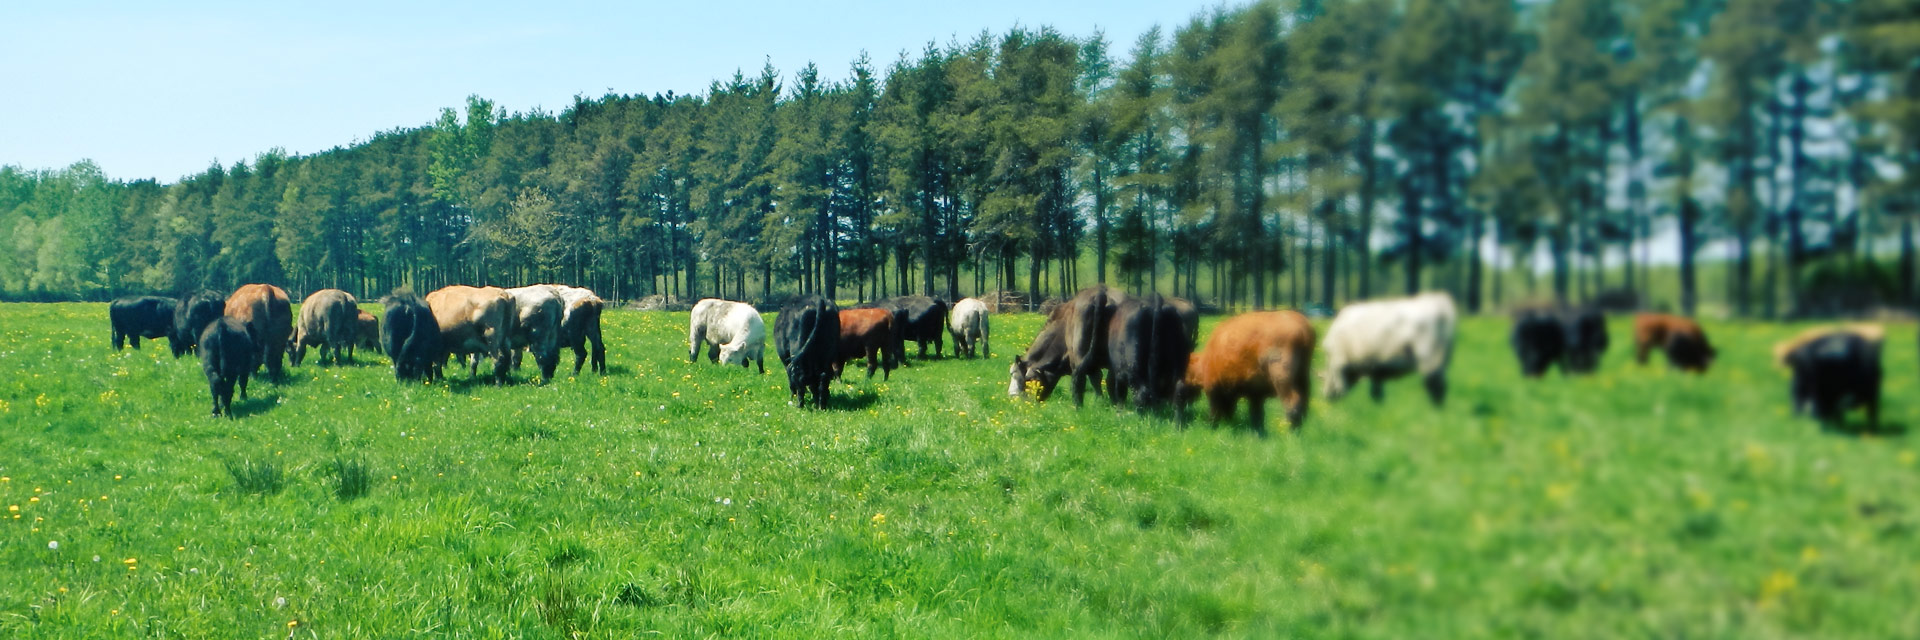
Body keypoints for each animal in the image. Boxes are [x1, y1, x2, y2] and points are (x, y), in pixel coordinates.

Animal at [1167, 309, 1320, 434]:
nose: (1175, 403)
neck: (1206, 359)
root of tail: (1303, 329)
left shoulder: (1213, 388)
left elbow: (1215, 411)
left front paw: (1212, 427)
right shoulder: (1255, 394)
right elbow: (1255, 414)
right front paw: (1257, 433)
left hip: (1282, 377)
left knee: (1292, 403)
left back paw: (1290, 434)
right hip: (1303, 376)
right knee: (1304, 403)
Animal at [1328, 290, 1459, 403]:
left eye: (1324, 377)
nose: (1327, 396)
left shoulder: (1341, 364)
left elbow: (1343, 386)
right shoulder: (1376, 365)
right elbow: (1376, 389)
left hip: (1430, 356)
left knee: (1435, 385)